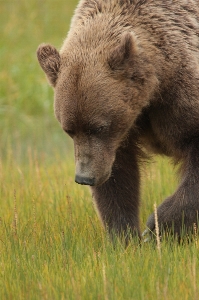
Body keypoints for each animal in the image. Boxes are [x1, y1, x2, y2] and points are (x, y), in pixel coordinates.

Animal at [36, 0, 199, 243]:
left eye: (99, 127)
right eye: (69, 130)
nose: (84, 177)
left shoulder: (178, 96)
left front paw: (157, 227)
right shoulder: (117, 139)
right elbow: (118, 176)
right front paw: (124, 236)